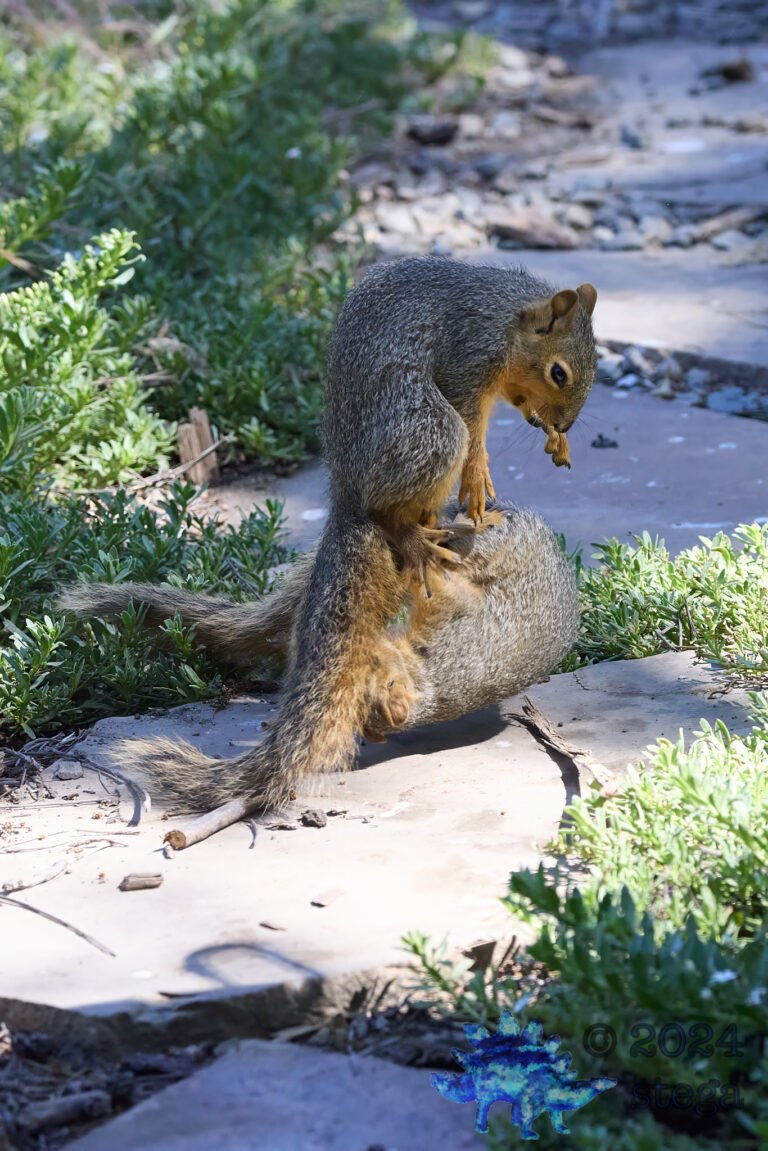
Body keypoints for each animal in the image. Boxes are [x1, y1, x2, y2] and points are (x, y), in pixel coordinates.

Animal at [62, 257, 596, 813]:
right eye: (559, 372)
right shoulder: (468, 355)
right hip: (423, 428)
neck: (508, 313)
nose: (563, 426)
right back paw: (413, 536)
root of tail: (346, 488)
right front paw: (477, 476)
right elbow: (473, 428)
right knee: (403, 491)